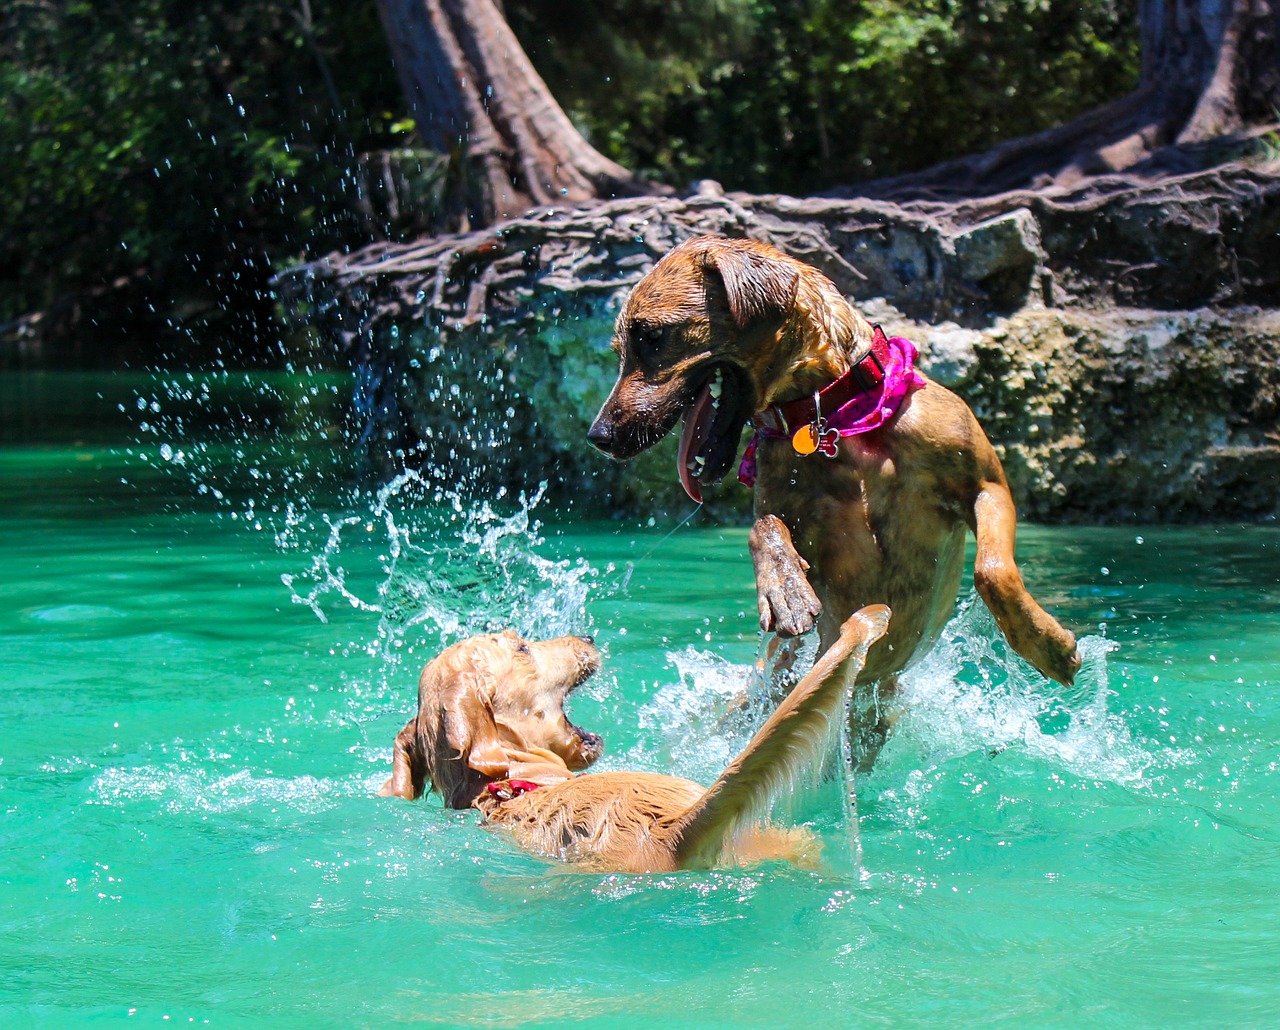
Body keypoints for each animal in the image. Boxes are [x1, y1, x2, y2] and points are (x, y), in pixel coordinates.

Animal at [588, 235, 1080, 757]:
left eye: (652, 337)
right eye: (624, 346)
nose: (598, 437)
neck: (836, 415)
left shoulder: (986, 486)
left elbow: (993, 570)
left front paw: (1046, 644)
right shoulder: (798, 523)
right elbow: (763, 527)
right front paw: (784, 588)